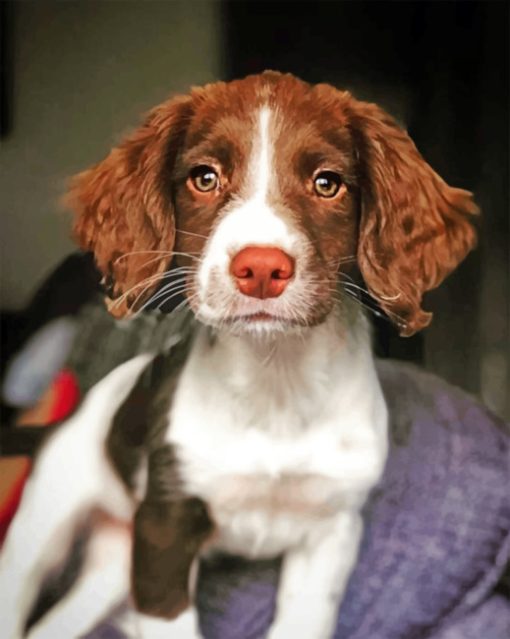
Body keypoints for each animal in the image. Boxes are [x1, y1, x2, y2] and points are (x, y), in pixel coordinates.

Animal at [0, 72, 478, 636]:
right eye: (204, 178)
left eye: (327, 183)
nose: (262, 269)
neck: (275, 381)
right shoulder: (164, 524)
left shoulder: (331, 528)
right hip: (48, 518)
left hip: (114, 563)